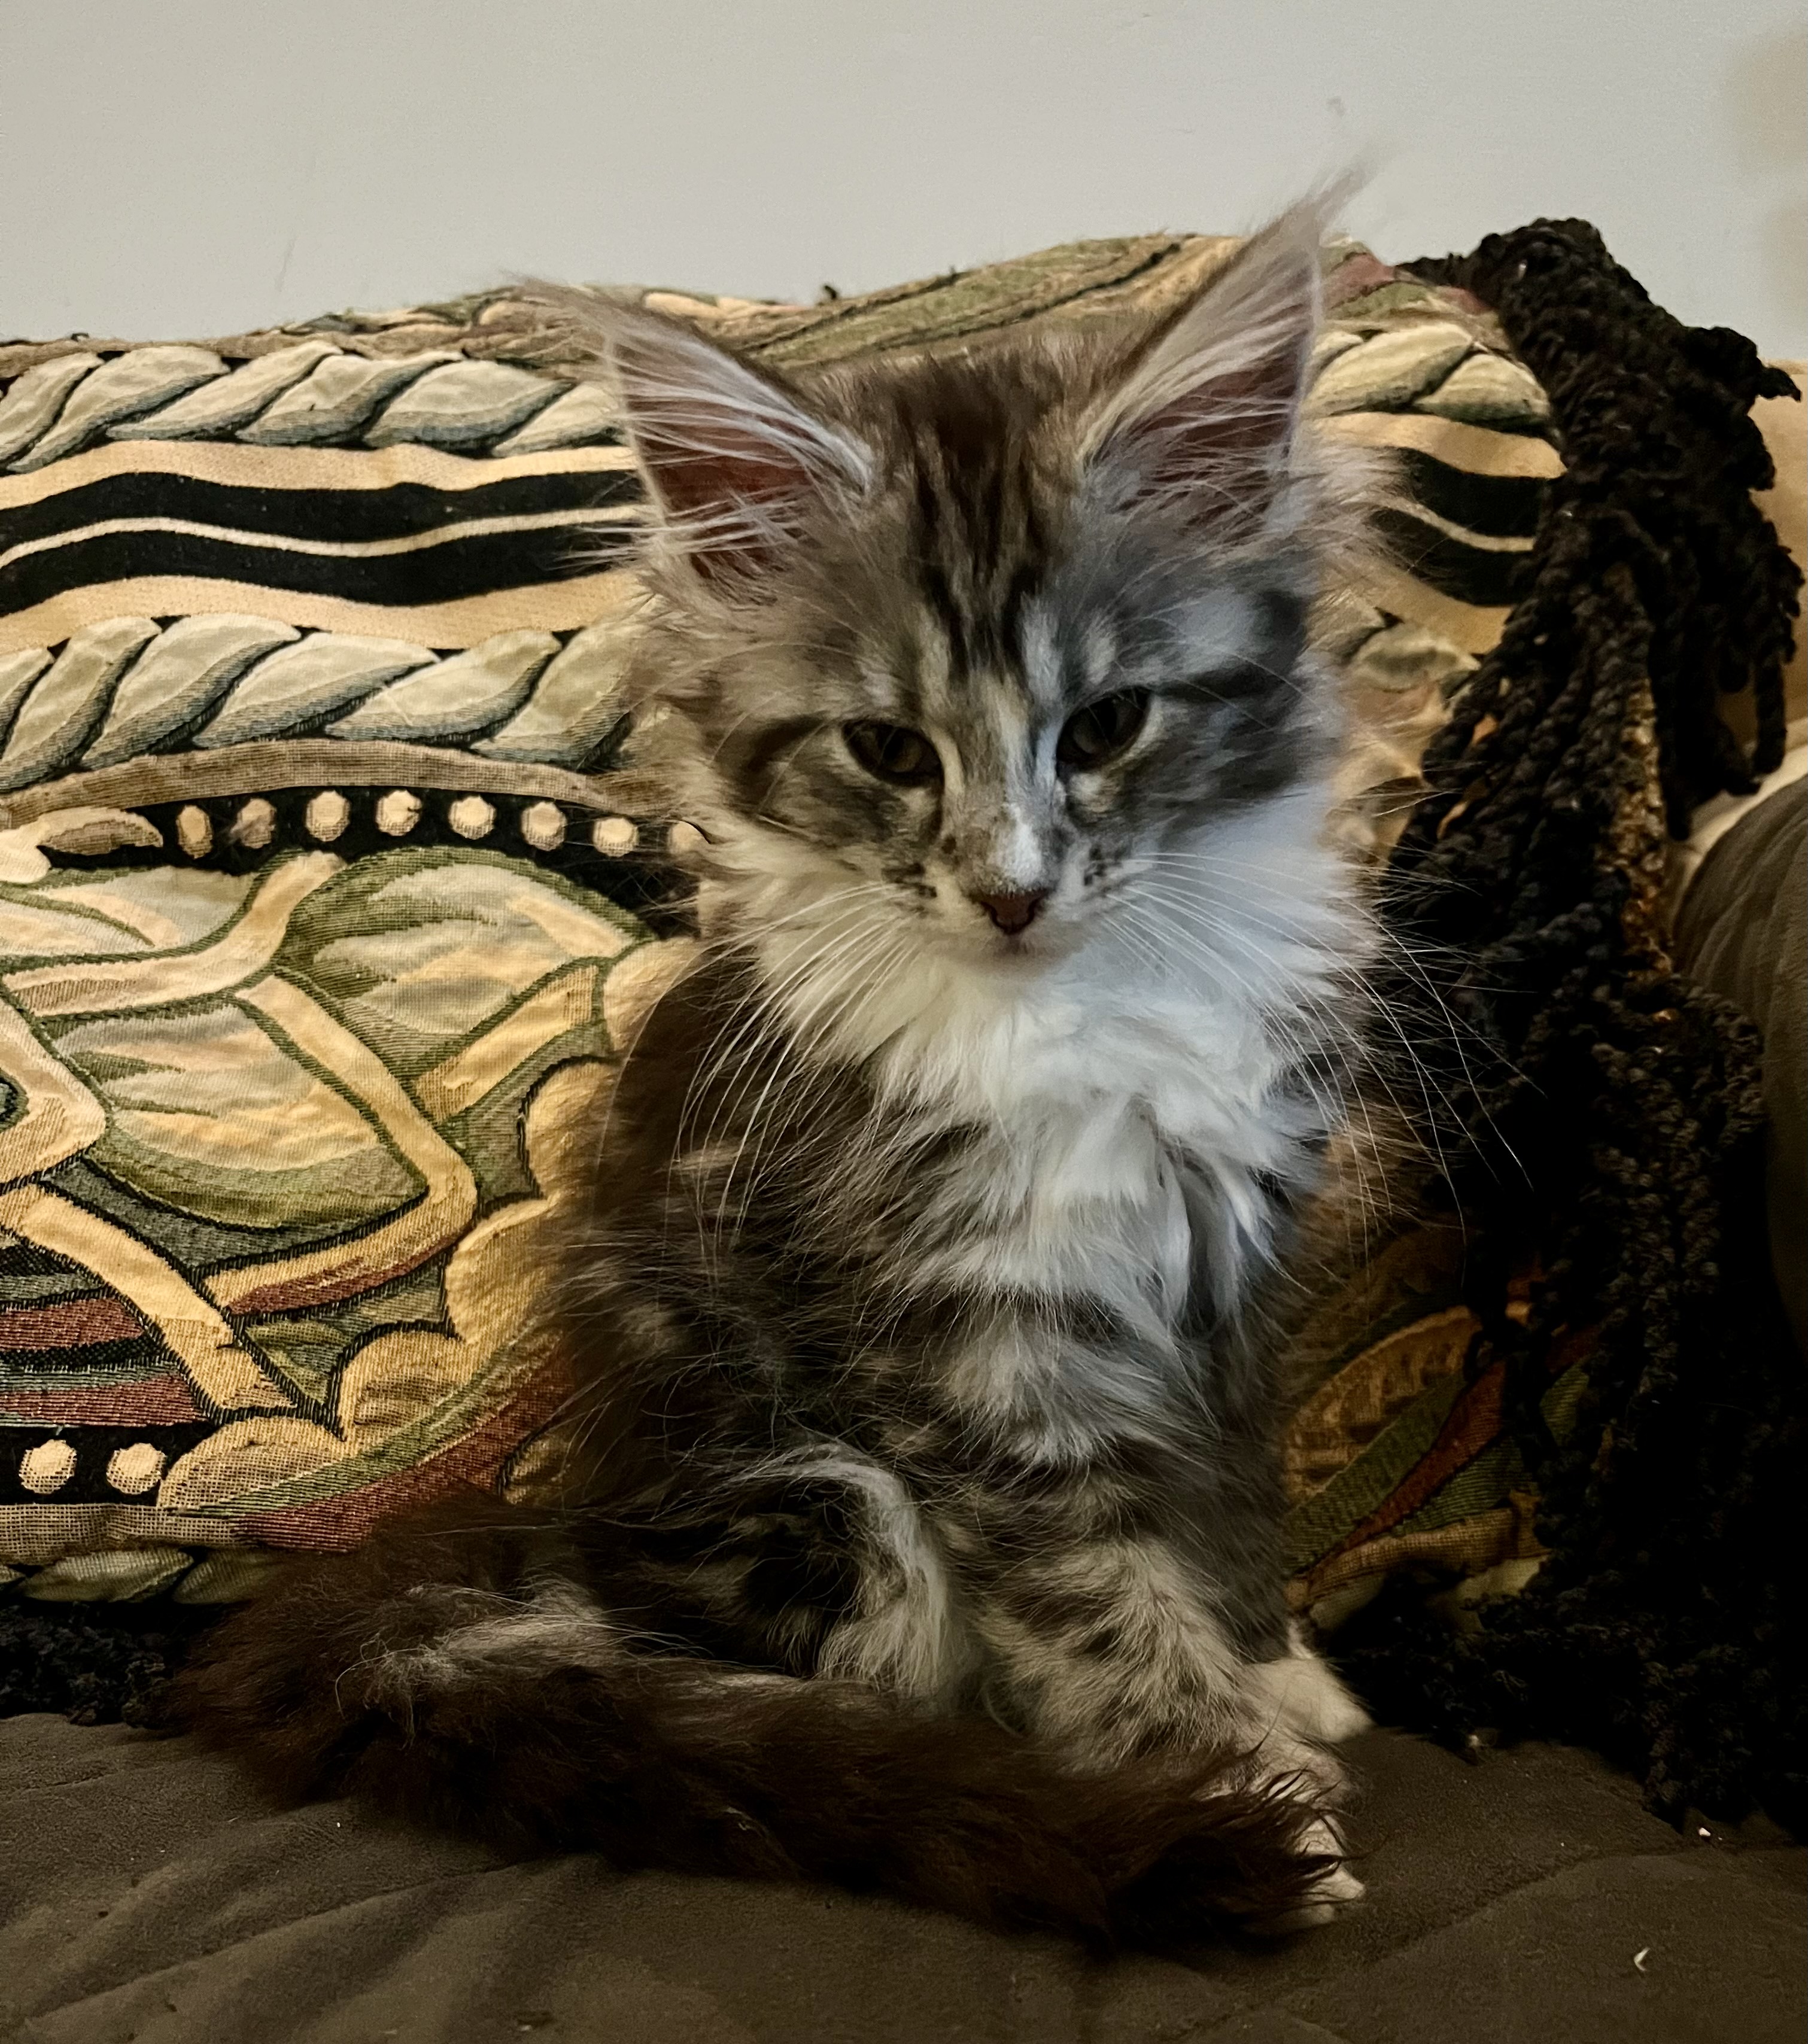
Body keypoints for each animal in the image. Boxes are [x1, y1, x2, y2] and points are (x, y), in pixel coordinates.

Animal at [180, 207, 1382, 1946]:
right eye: (888, 752)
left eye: (1105, 727)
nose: (1009, 893)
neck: (1072, 1010)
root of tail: (575, 1540)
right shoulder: (969, 1342)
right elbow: (1091, 1591)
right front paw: (1225, 1778)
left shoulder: (1237, 1267)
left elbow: (1225, 1502)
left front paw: (1273, 1673)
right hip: (812, 1492)